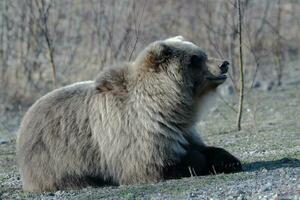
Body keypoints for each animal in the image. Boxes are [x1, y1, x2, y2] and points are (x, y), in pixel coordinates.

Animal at [15, 36, 241, 192]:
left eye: (202, 53)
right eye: (195, 59)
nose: (224, 63)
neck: (167, 107)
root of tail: (25, 120)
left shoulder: (180, 130)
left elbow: (201, 146)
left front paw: (229, 160)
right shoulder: (135, 133)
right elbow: (159, 164)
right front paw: (199, 162)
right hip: (55, 157)